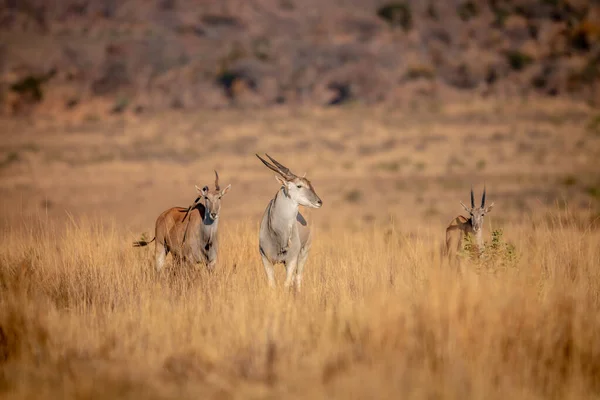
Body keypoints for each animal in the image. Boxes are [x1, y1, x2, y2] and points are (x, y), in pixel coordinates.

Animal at [258, 154, 324, 290]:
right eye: (299, 185)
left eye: (309, 183)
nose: (319, 202)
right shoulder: (266, 259)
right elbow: (272, 285)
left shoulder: (291, 261)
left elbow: (286, 284)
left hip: (304, 252)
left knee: (298, 278)